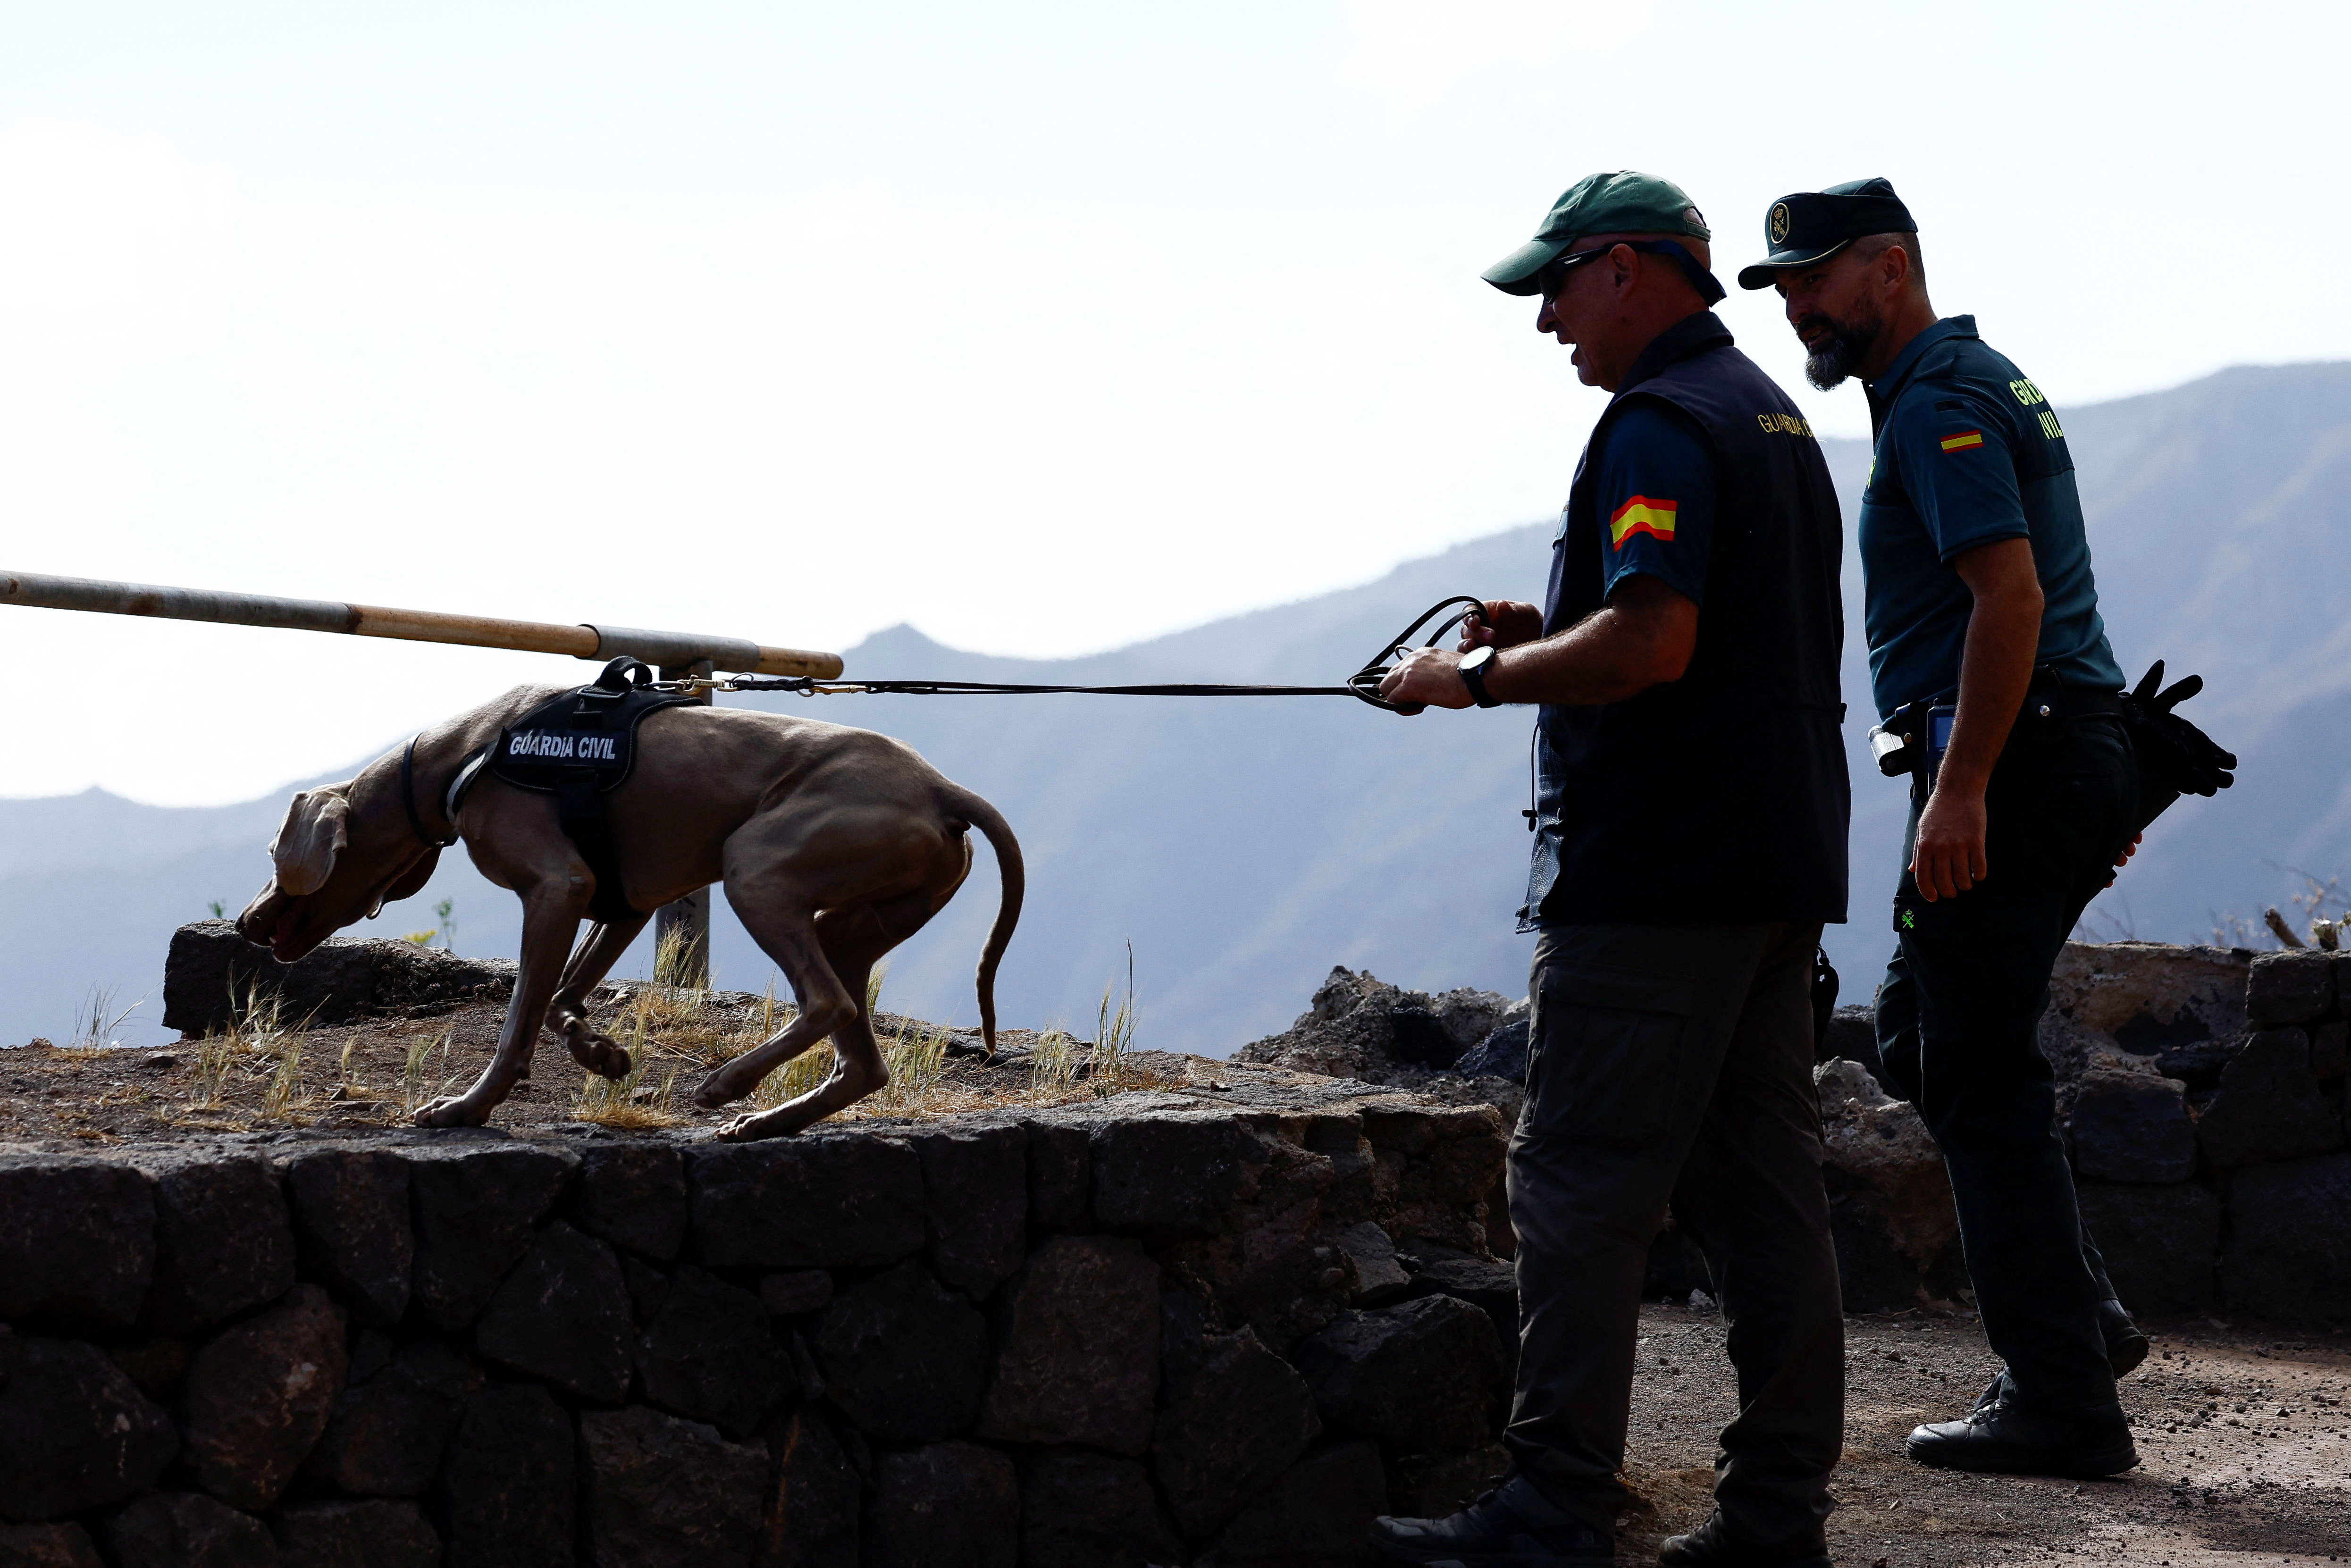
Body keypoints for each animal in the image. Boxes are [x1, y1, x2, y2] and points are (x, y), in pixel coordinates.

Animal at [231, 686, 1030, 1142]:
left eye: (273, 852)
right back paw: (766, 1120)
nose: (246, 923)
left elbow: (520, 1015)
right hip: (851, 916)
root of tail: (942, 788)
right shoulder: (620, 899)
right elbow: (562, 997)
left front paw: (468, 1107)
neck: (463, 756)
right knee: (861, 1057)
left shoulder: (557, 885)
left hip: (757, 865)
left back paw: (727, 1083)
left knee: (826, 1002)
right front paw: (602, 1053)